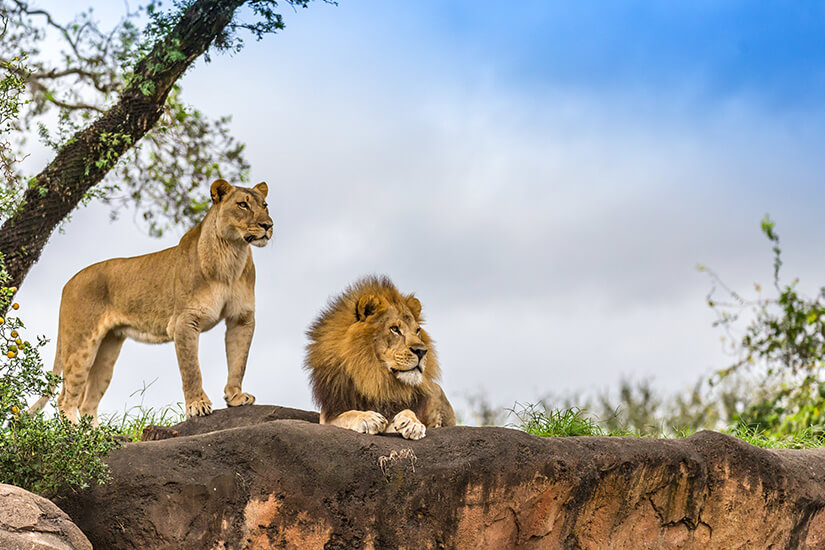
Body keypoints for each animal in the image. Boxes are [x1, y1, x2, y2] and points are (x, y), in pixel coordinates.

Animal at [29, 179, 272, 424]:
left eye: (265, 205)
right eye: (242, 205)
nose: (268, 225)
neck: (232, 256)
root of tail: (67, 283)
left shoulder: (242, 318)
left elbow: (238, 361)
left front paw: (236, 397)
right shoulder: (185, 321)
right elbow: (191, 369)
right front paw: (197, 405)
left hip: (107, 350)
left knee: (86, 402)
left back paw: (96, 433)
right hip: (81, 344)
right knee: (66, 399)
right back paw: (77, 432)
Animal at [304, 278, 454, 442]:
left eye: (417, 330)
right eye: (394, 329)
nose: (422, 351)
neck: (378, 379)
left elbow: (407, 412)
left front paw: (411, 423)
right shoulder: (327, 417)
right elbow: (347, 415)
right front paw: (368, 418)